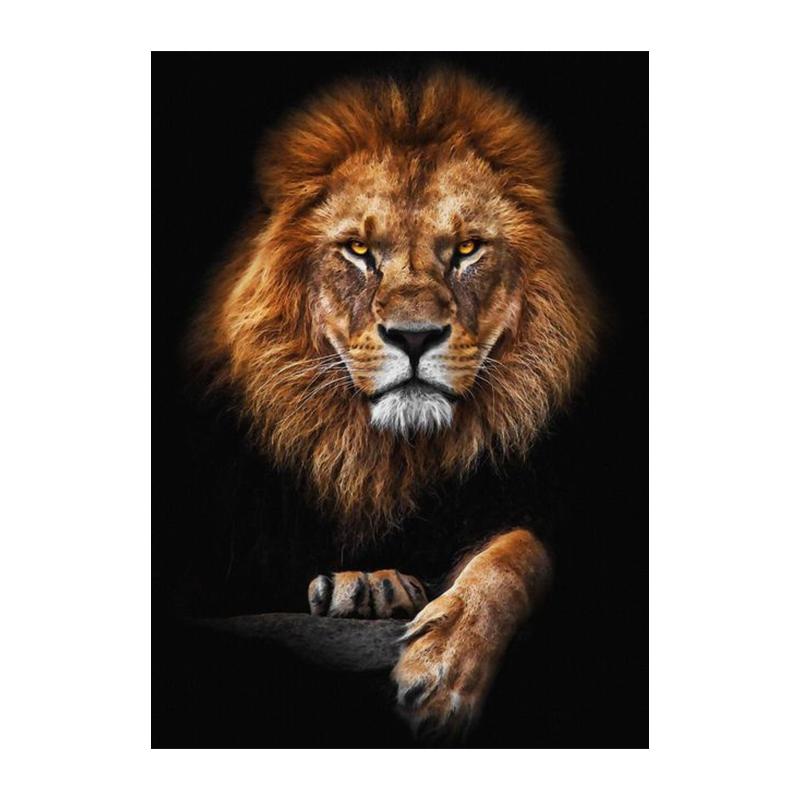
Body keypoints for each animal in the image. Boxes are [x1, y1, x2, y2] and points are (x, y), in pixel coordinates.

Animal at [188, 69, 599, 739]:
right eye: (358, 250)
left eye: (467, 249)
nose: (413, 336)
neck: (392, 458)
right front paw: (367, 585)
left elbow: (518, 554)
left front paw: (446, 667)